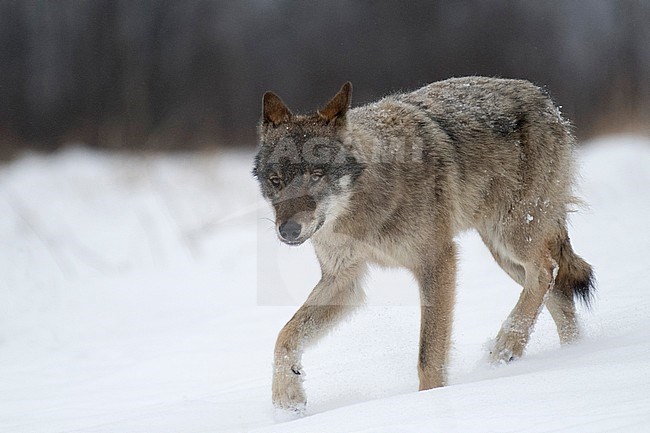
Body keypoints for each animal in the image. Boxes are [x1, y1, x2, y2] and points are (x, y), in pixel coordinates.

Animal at [252, 77, 592, 412]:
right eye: (276, 180)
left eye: (316, 175)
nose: (288, 231)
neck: (362, 210)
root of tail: (545, 99)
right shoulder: (343, 280)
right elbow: (284, 335)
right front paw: (287, 398)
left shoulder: (437, 261)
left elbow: (429, 354)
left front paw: (429, 403)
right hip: (504, 253)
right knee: (557, 291)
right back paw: (570, 353)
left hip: (511, 236)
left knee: (547, 270)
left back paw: (506, 347)